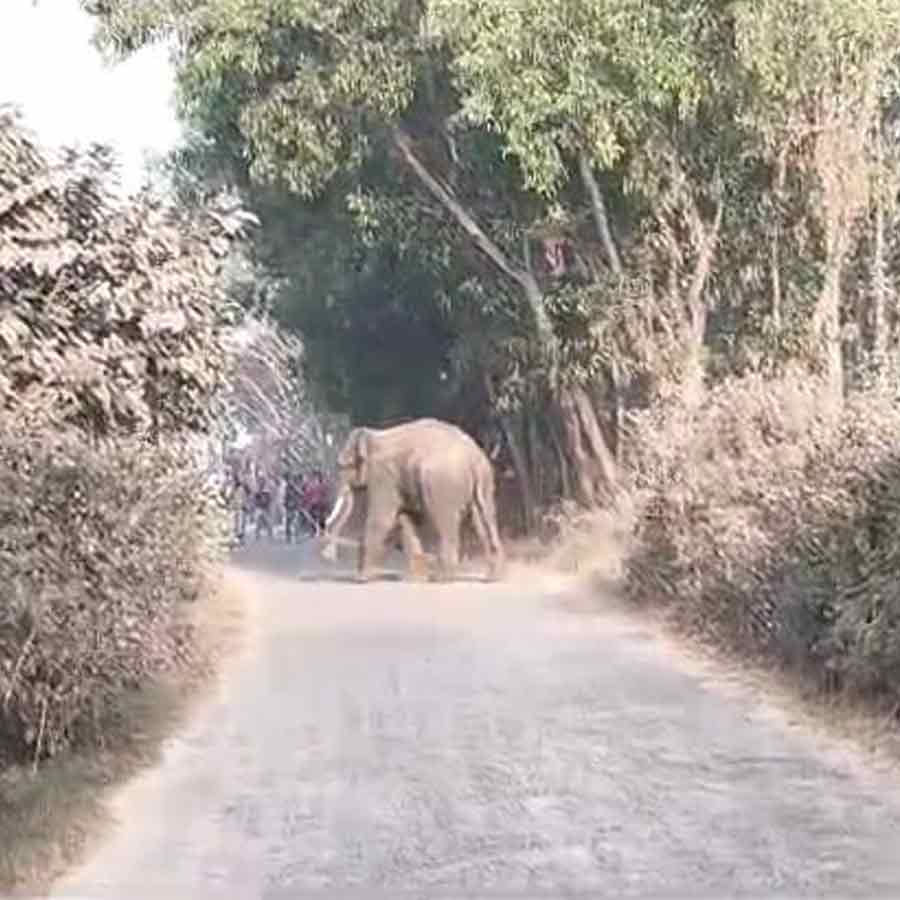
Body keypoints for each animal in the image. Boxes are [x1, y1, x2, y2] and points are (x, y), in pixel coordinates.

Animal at [319, 418, 505, 582]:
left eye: (343, 465)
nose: (328, 555)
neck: (374, 435)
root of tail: (473, 456)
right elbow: (406, 519)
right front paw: (413, 579)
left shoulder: (384, 477)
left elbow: (382, 519)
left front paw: (360, 579)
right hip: (484, 480)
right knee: (483, 519)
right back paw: (493, 578)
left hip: (441, 484)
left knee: (444, 522)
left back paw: (441, 578)